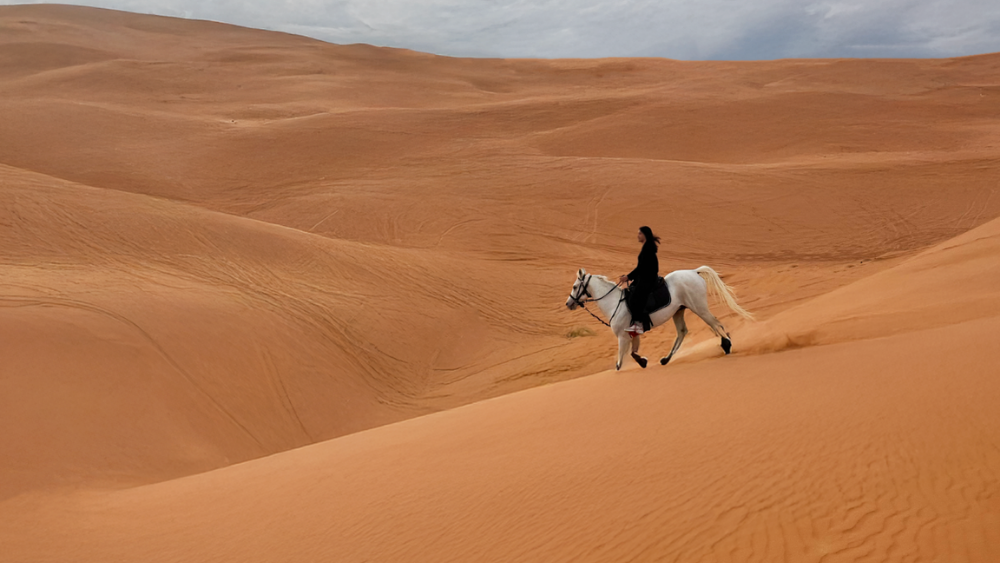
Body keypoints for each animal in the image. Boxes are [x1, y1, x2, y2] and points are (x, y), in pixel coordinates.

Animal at [566, 266, 754, 370]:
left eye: (575, 287)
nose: (568, 304)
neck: (613, 302)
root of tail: (694, 272)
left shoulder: (622, 337)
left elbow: (619, 363)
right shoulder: (633, 334)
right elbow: (634, 353)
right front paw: (643, 362)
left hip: (698, 307)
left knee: (715, 323)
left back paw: (727, 345)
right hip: (679, 311)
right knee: (682, 332)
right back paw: (666, 359)